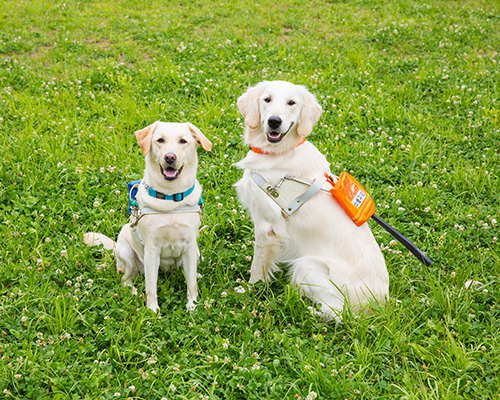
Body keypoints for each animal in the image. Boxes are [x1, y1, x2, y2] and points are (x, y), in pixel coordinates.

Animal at [84, 122, 211, 312]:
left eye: (183, 141)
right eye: (160, 140)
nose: (170, 157)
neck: (170, 198)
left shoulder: (189, 246)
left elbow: (191, 285)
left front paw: (192, 307)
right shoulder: (152, 249)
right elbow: (151, 286)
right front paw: (152, 311)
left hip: (195, 252)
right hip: (127, 251)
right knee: (126, 280)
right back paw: (135, 293)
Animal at [235, 81, 390, 322]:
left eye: (291, 102)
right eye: (267, 99)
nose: (274, 121)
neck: (279, 152)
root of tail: (379, 305)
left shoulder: (266, 227)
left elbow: (257, 267)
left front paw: (249, 290)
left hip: (305, 266)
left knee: (337, 313)